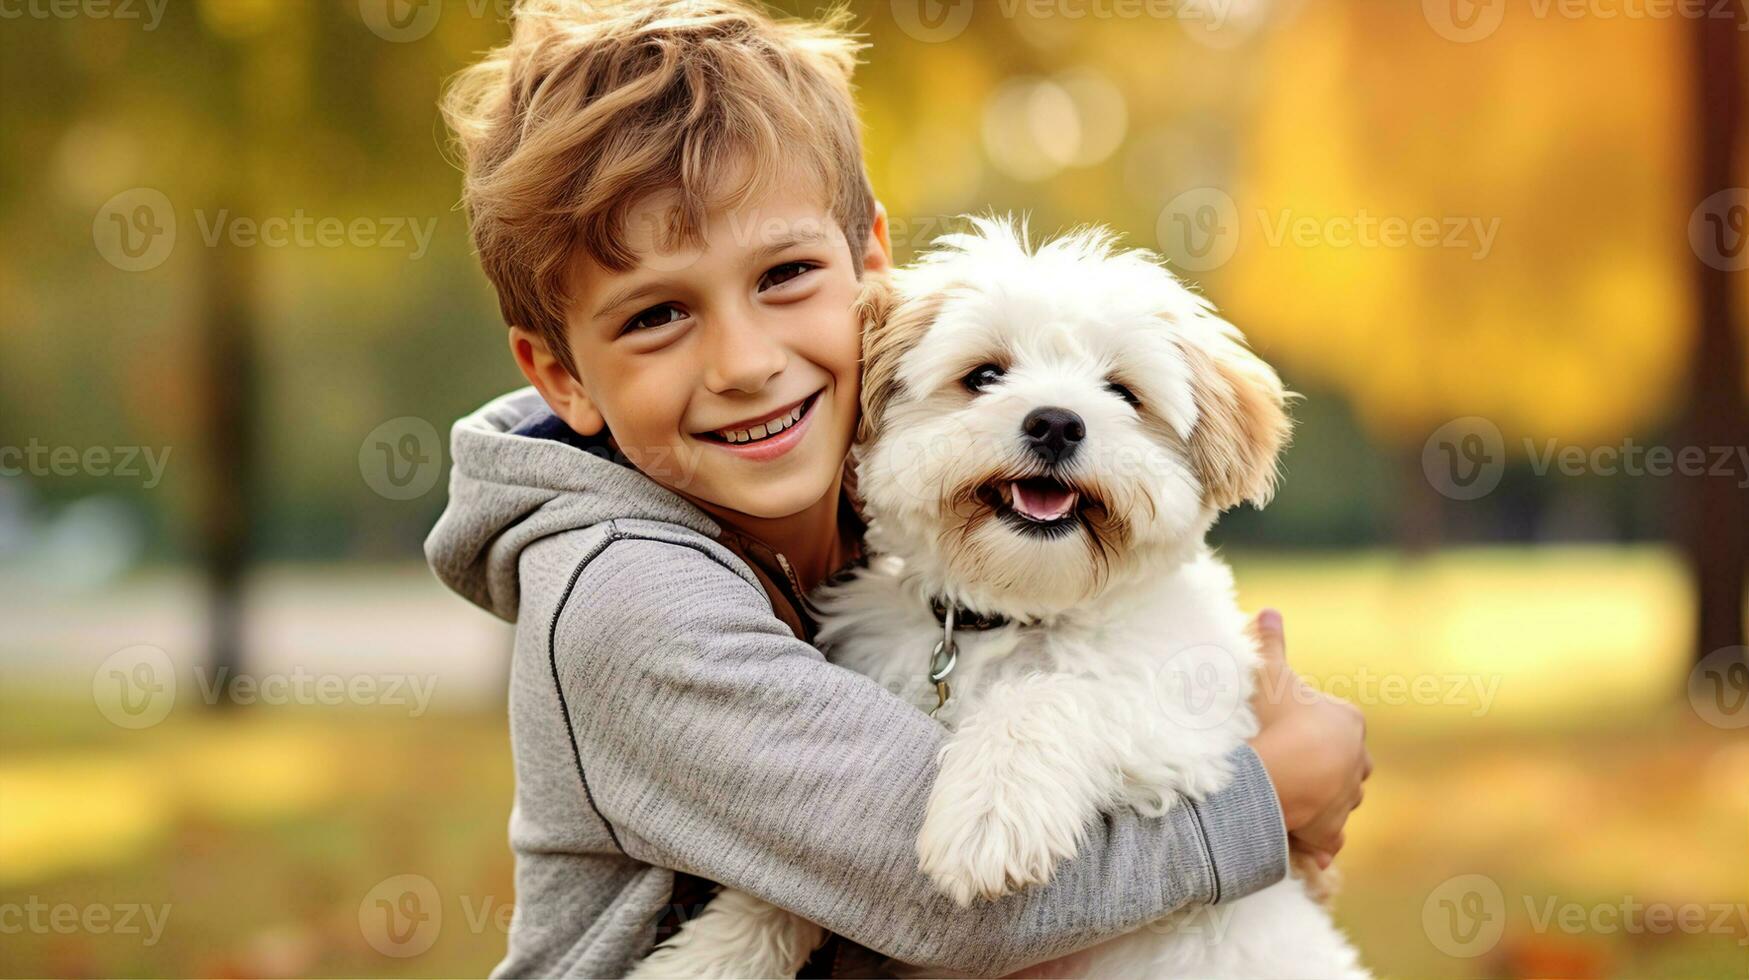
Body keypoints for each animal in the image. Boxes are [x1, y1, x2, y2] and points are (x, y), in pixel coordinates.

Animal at [636, 216, 1371, 980]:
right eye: (985, 375)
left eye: (1123, 392)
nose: (1056, 422)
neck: (1009, 613)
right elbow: (796, 879)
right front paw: (709, 955)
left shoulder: (1186, 724)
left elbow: (1052, 695)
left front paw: (988, 815)